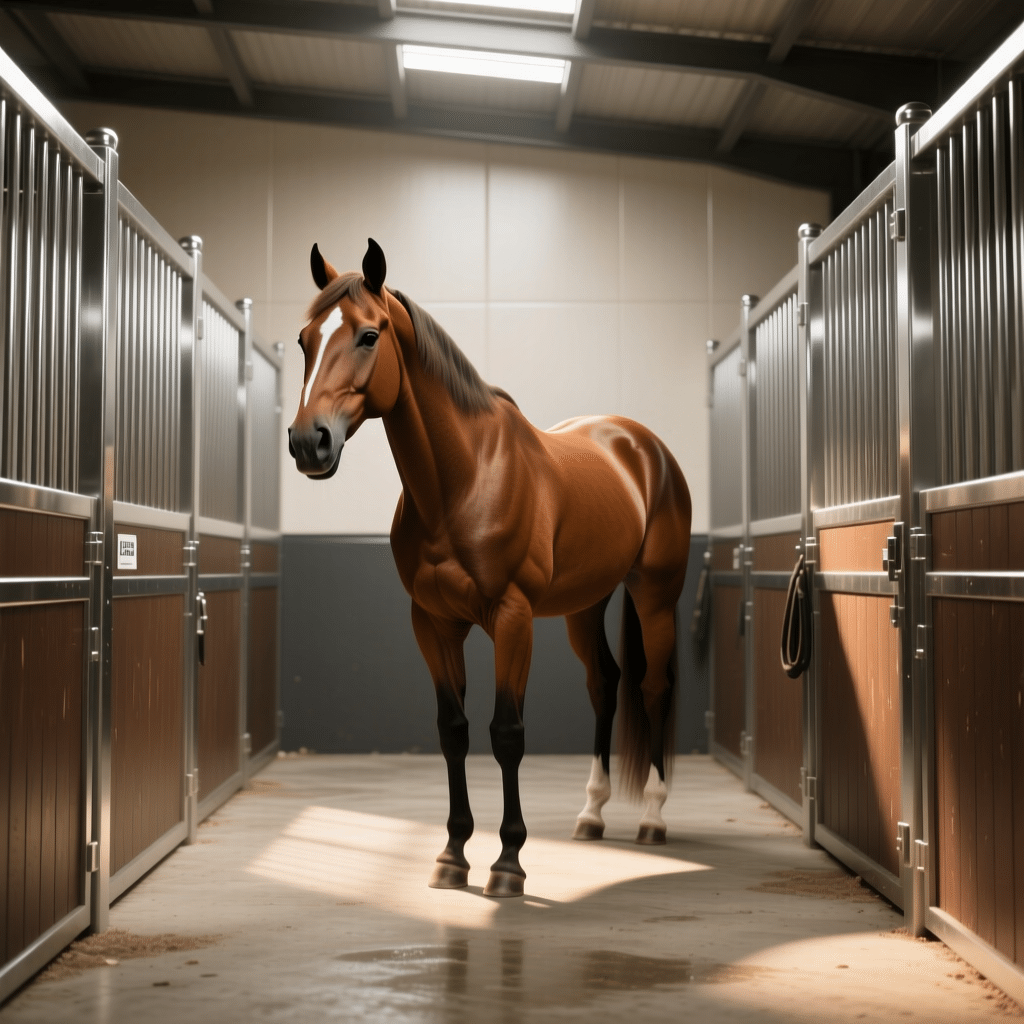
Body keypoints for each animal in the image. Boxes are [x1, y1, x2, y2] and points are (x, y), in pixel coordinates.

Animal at [288, 239, 692, 898]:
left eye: (369, 335)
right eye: (304, 340)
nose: (308, 443)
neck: (465, 480)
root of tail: (642, 445)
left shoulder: (512, 618)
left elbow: (507, 733)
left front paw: (508, 862)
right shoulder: (432, 623)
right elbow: (453, 730)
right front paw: (452, 855)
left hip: (655, 596)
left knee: (653, 687)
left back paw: (653, 819)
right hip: (585, 605)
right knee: (604, 684)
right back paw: (591, 814)